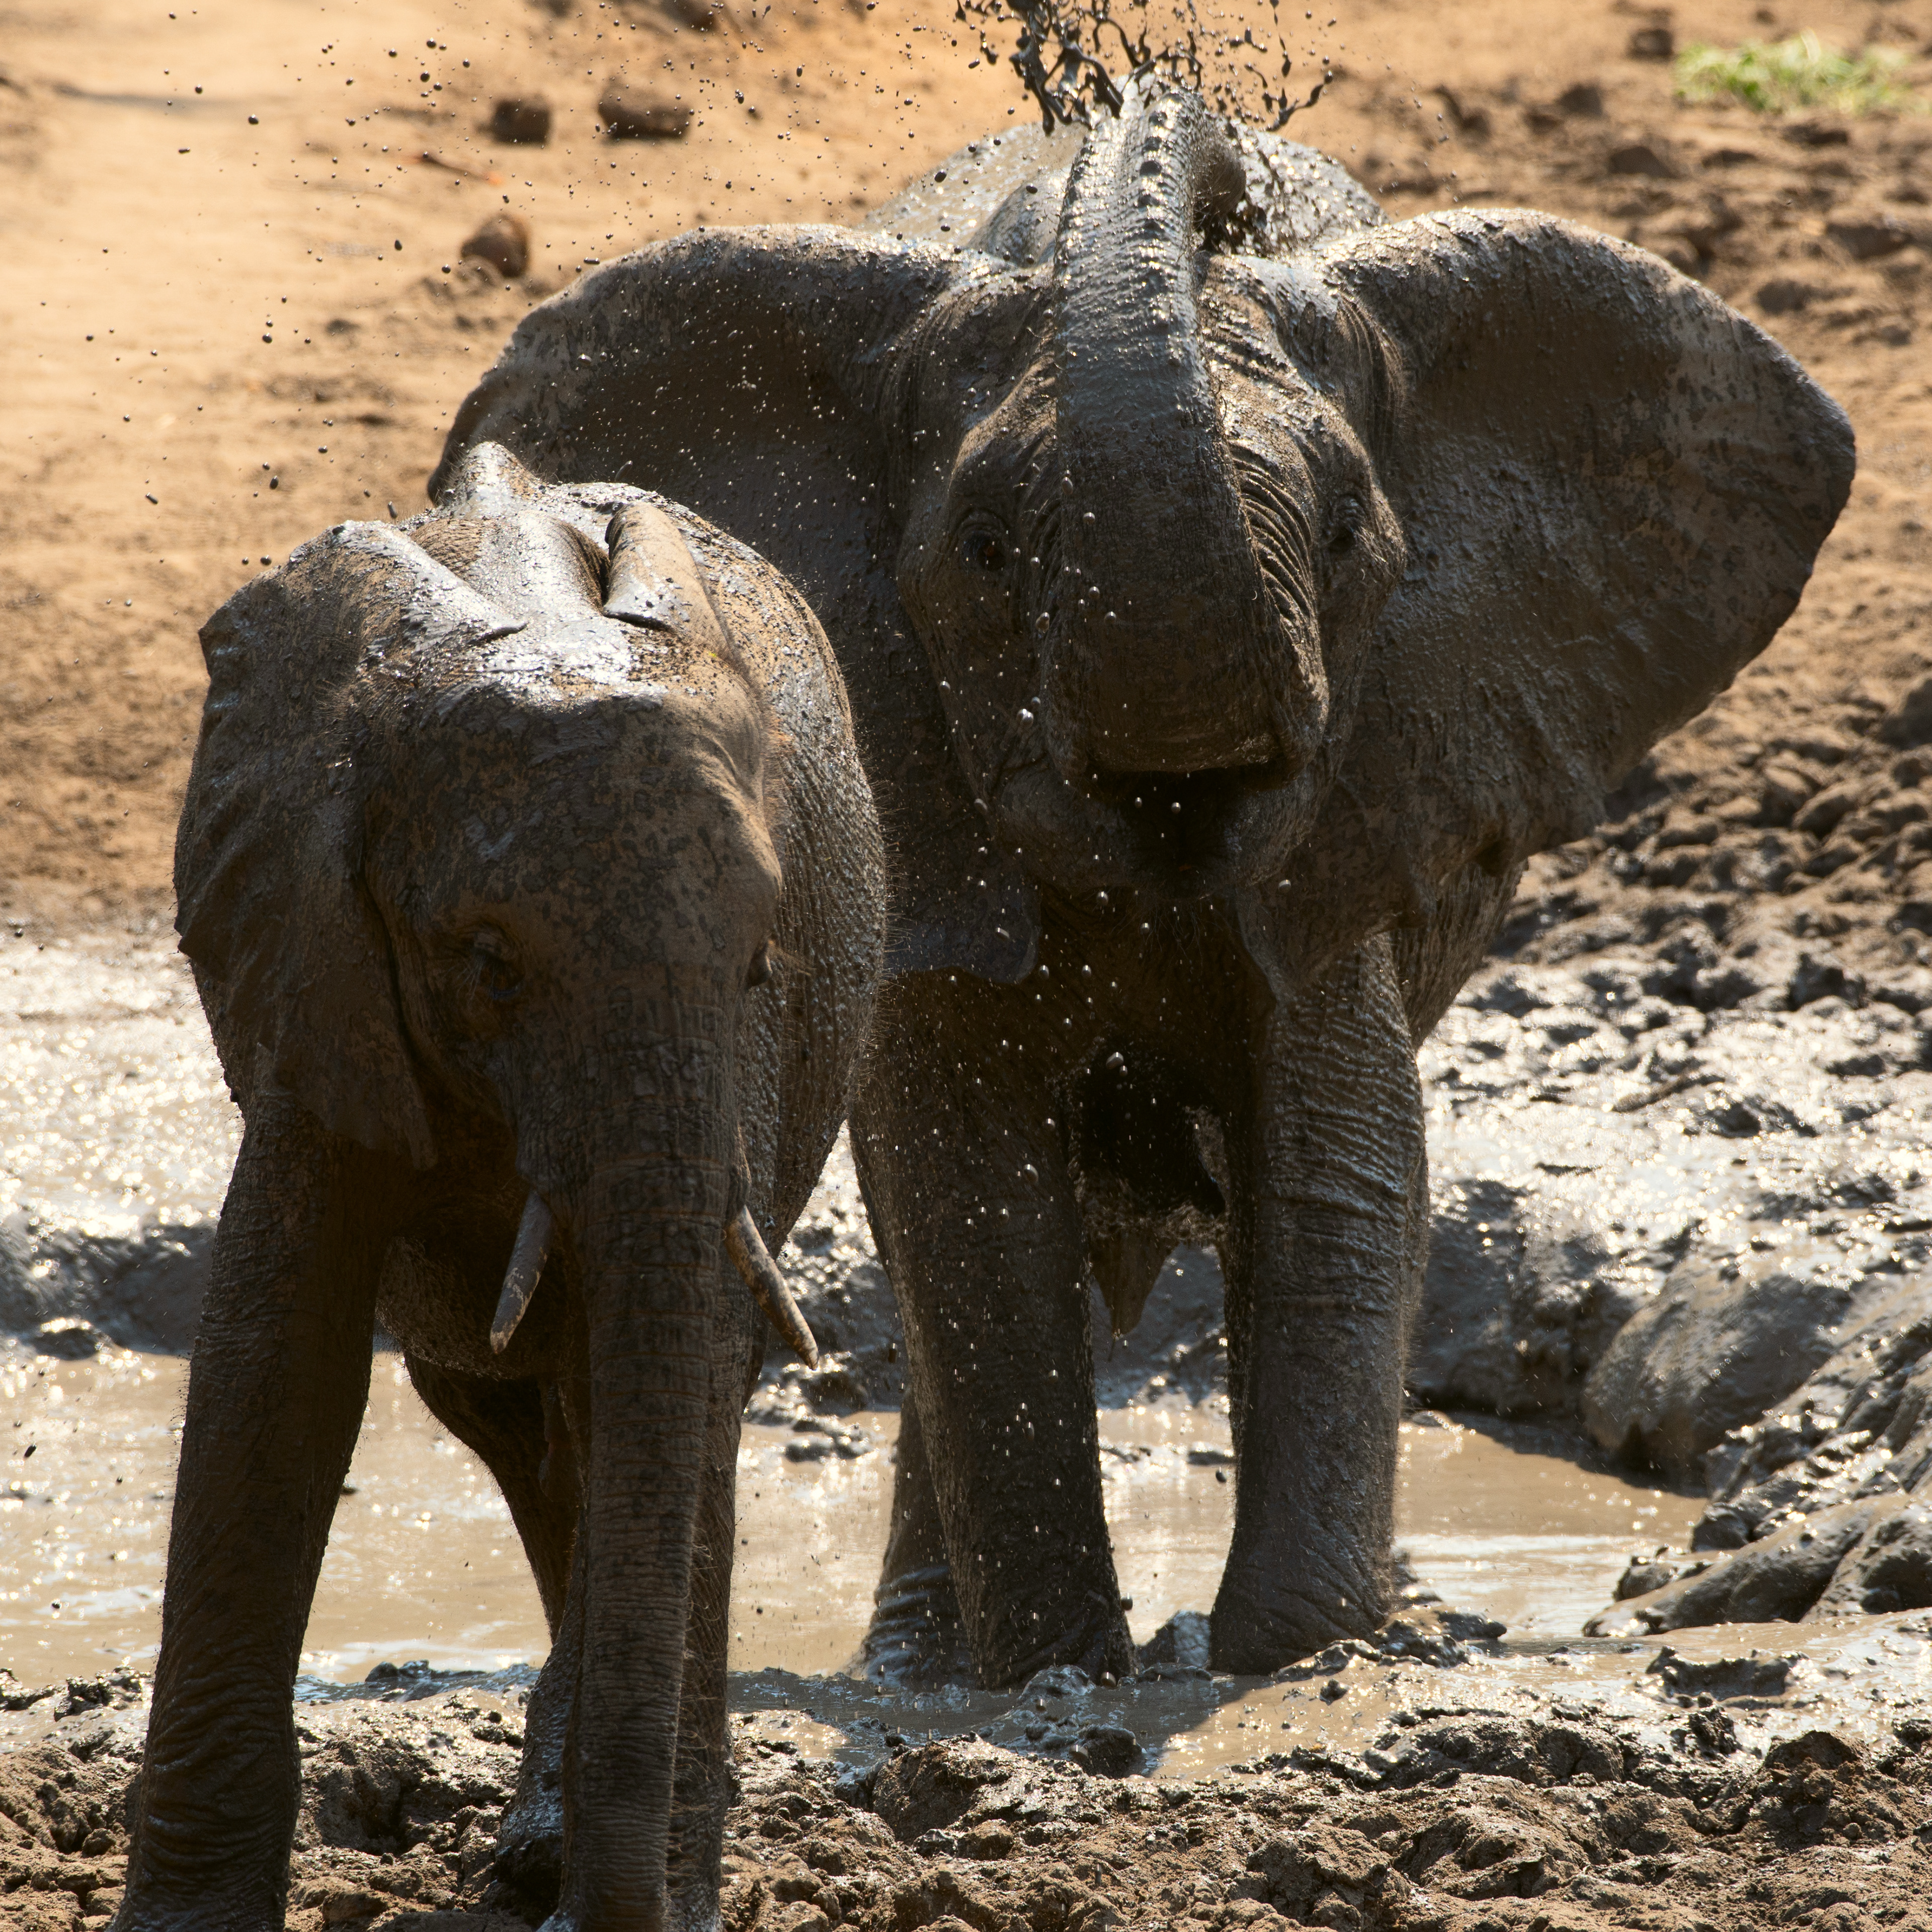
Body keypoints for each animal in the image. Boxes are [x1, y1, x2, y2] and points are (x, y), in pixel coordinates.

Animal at [116, 443, 885, 1932]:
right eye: (487, 960)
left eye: (761, 959)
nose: (621, 1912)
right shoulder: (315, 950)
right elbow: (273, 1362)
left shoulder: (750, 1047)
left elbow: (687, 1355)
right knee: (514, 1413)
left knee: (606, 1398)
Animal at [430, 82, 1853, 1686]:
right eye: (986, 550)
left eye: (1348, 534)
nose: (1166, 115)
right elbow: (968, 1207)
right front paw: (1054, 1670)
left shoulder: (1365, 797)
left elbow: (1338, 1167)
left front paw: (1289, 1662)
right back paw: (916, 1661)